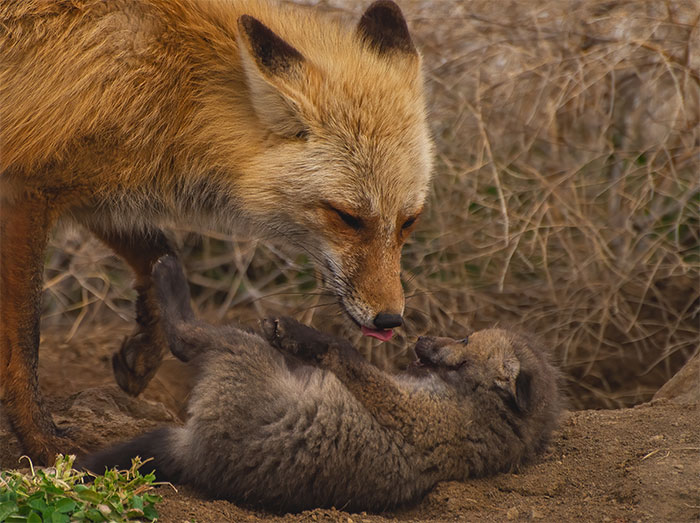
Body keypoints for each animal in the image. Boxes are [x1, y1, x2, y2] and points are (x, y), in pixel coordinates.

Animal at [0, 0, 433, 463]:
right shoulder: (25, 192)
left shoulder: (94, 193)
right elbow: (25, 342)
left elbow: (161, 256)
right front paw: (41, 440)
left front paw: (144, 353)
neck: (176, 89)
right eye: (347, 217)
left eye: (409, 221)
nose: (390, 319)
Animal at [80, 255, 562, 512]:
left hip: (242, 356)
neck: (485, 414)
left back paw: (168, 274)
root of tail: (196, 455)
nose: (419, 339)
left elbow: (341, 352)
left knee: (185, 336)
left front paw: (299, 334)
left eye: (464, 341)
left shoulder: (408, 413)